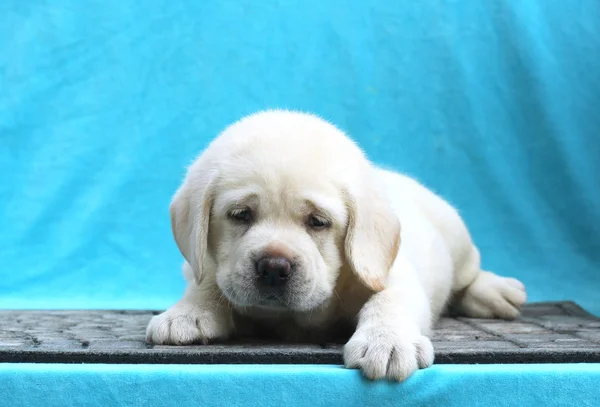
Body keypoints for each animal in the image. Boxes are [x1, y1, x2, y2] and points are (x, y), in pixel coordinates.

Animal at [148, 109, 528, 382]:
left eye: (318, 222)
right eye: (241, 215)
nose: (274, 267)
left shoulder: (390, 273)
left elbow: (389, 301)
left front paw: (386, 341)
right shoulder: (207, 267)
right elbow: (208, 282)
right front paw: (186, 312)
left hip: (459, 241)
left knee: (468, 276)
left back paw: (494, 292)